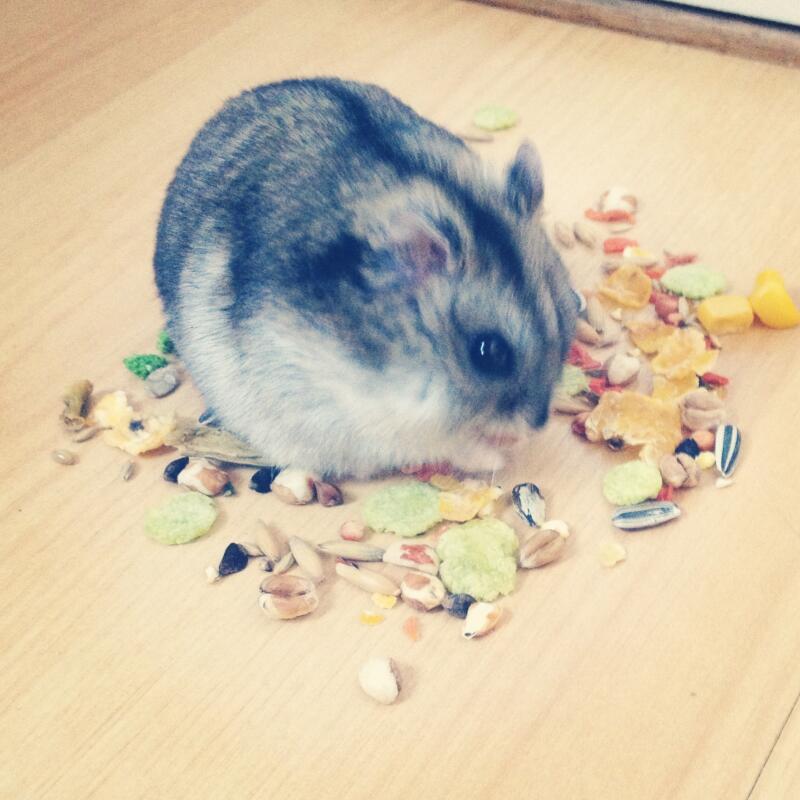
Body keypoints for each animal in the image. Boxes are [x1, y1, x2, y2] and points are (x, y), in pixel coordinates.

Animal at [154, 78, 576, 479]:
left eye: (570, 310)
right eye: (489, 353)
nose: (536, 426)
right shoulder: (351, 416)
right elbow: (440, 443)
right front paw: (496, 458)